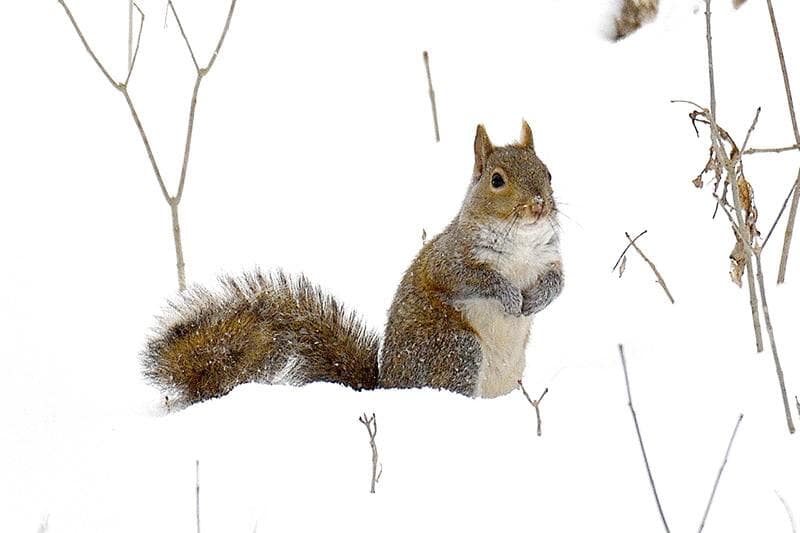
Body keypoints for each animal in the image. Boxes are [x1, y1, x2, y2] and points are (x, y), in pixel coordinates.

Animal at [142, 121, 563, 404]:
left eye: (548, 172)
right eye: (497, 180)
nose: (539, 204)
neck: (521, 243)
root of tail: (387, 388)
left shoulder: (551, 257)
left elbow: (559, 282)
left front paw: (538, 298)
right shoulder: (451, 259)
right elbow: (472, 278)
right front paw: (508, 295)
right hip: (456, 348)